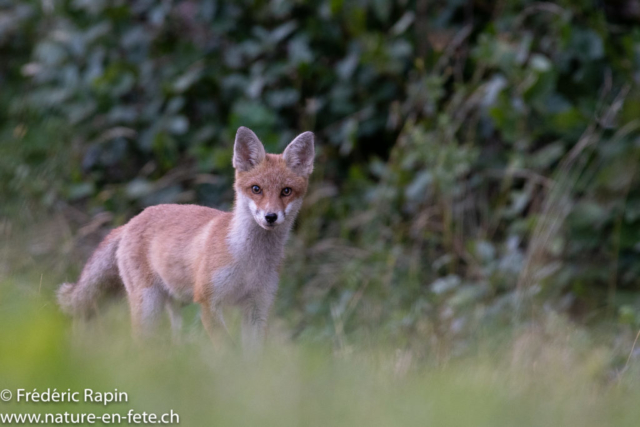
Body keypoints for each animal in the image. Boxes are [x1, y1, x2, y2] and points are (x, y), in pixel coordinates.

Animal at [57, 126, 314, 349]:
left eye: (286, 191)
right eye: (256, 189)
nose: (270, 217)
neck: (248, 261)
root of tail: (131, 221)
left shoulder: (258, 307)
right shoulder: (209, 302)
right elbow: (228, 351)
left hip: (176, 303)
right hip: (149, 305)